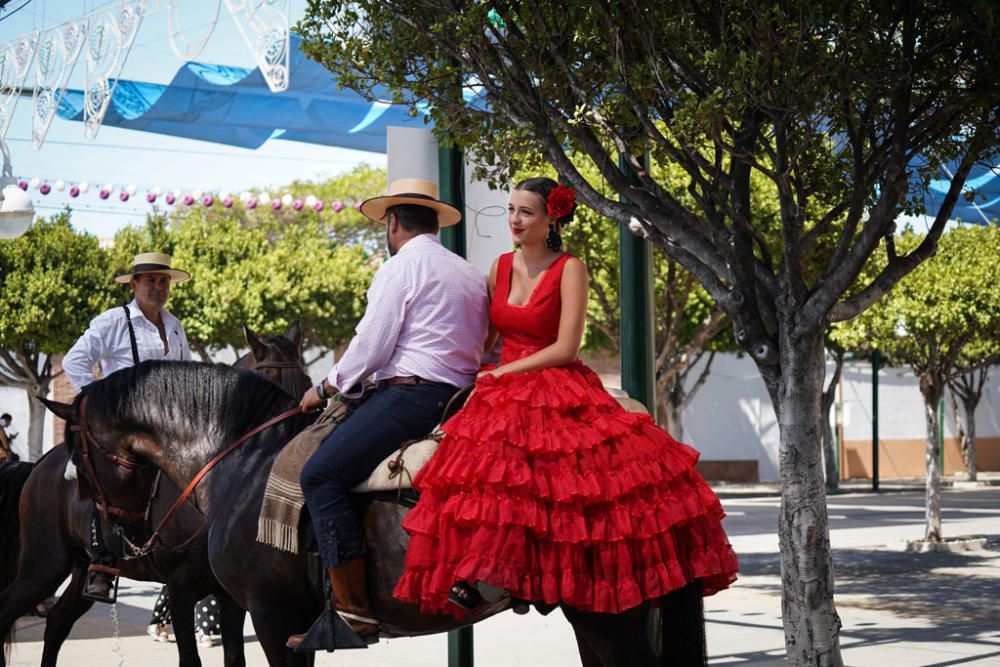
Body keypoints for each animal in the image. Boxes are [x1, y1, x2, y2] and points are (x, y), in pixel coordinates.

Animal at [0, 322, 310, 664]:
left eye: (307, 381)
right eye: (271, 380)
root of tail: (40, 464)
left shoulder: (232, 597)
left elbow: (235, 657)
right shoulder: (180, 587)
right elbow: (190, 657)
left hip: (81, 568)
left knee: (57, 622)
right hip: (44, 565)